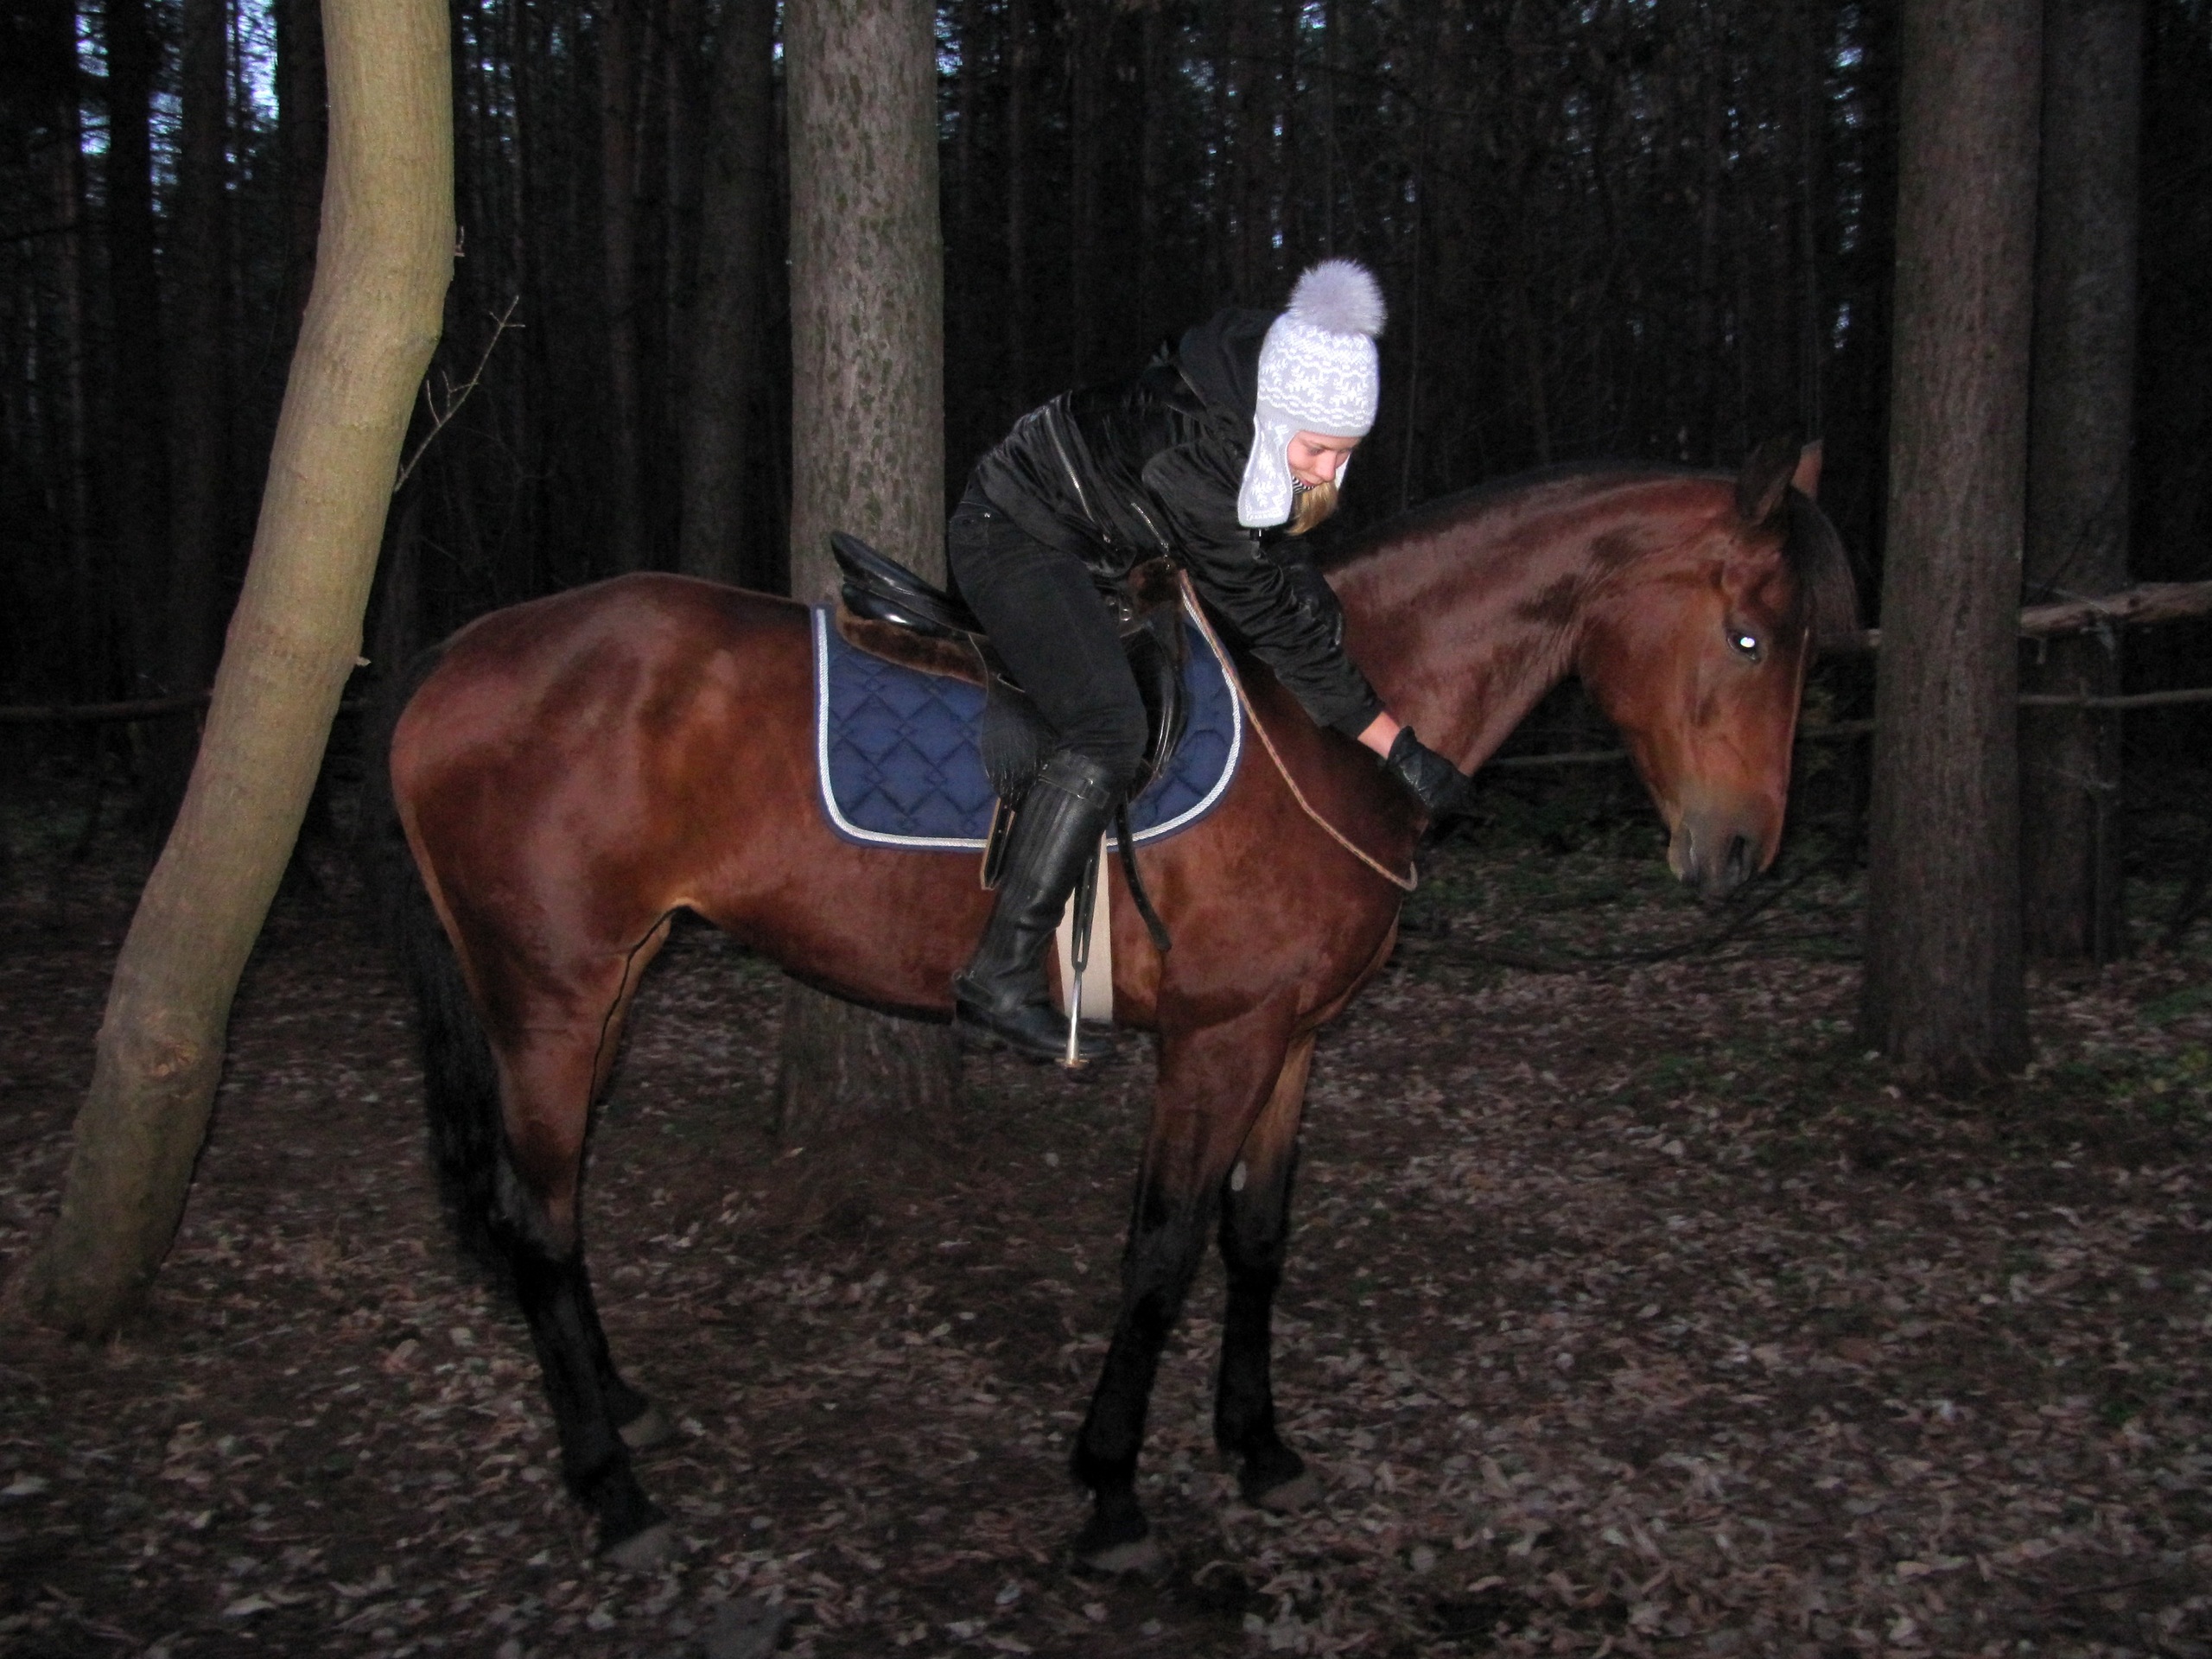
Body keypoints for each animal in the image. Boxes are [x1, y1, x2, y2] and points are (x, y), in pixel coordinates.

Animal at [368, 439, 1857, 1571]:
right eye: (1748, 637)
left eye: (1796, 649)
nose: (1740, 858)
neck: (1327, 729)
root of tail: (463, 654)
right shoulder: (1216, 1044)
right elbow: (1164, 1250)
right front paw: (1112, 1490)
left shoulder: (1292, 1041)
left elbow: (1258, 1241)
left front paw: (1258, 1445)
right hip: (549, 1001)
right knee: (539, 1221)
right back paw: (610, 1490)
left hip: (613, 981)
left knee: (550, 1215)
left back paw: (620, 1409)